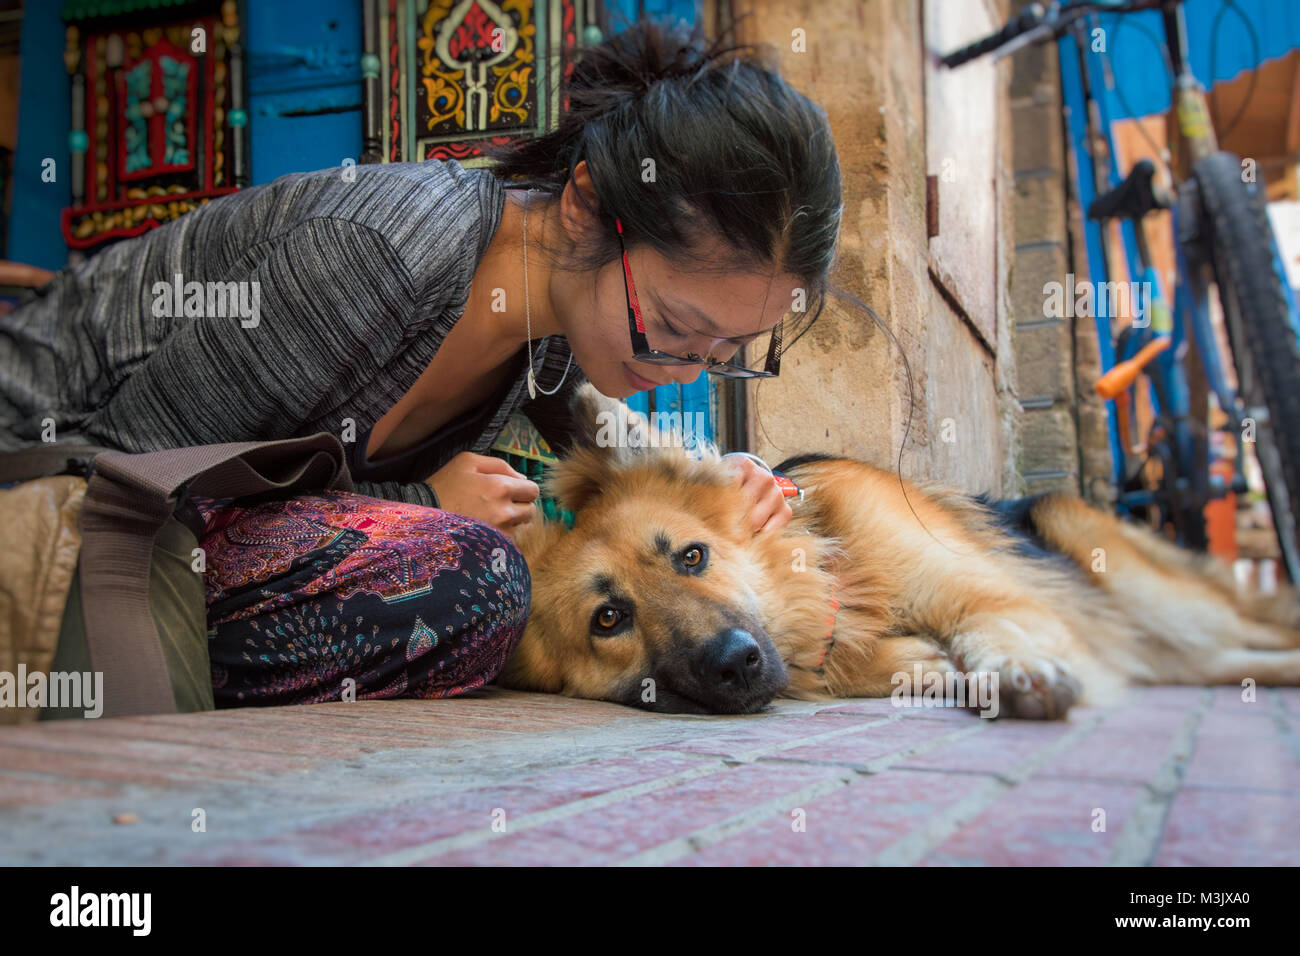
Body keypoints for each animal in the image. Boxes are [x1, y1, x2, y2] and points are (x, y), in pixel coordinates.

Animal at [501, 385, 1300, 723]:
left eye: (693, 558)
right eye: (609, 619)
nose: (736, 663)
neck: (840, 580)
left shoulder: (995, 597)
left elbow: (989, 628)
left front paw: (1016, 669)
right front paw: (924, 666)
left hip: (1165, 605)